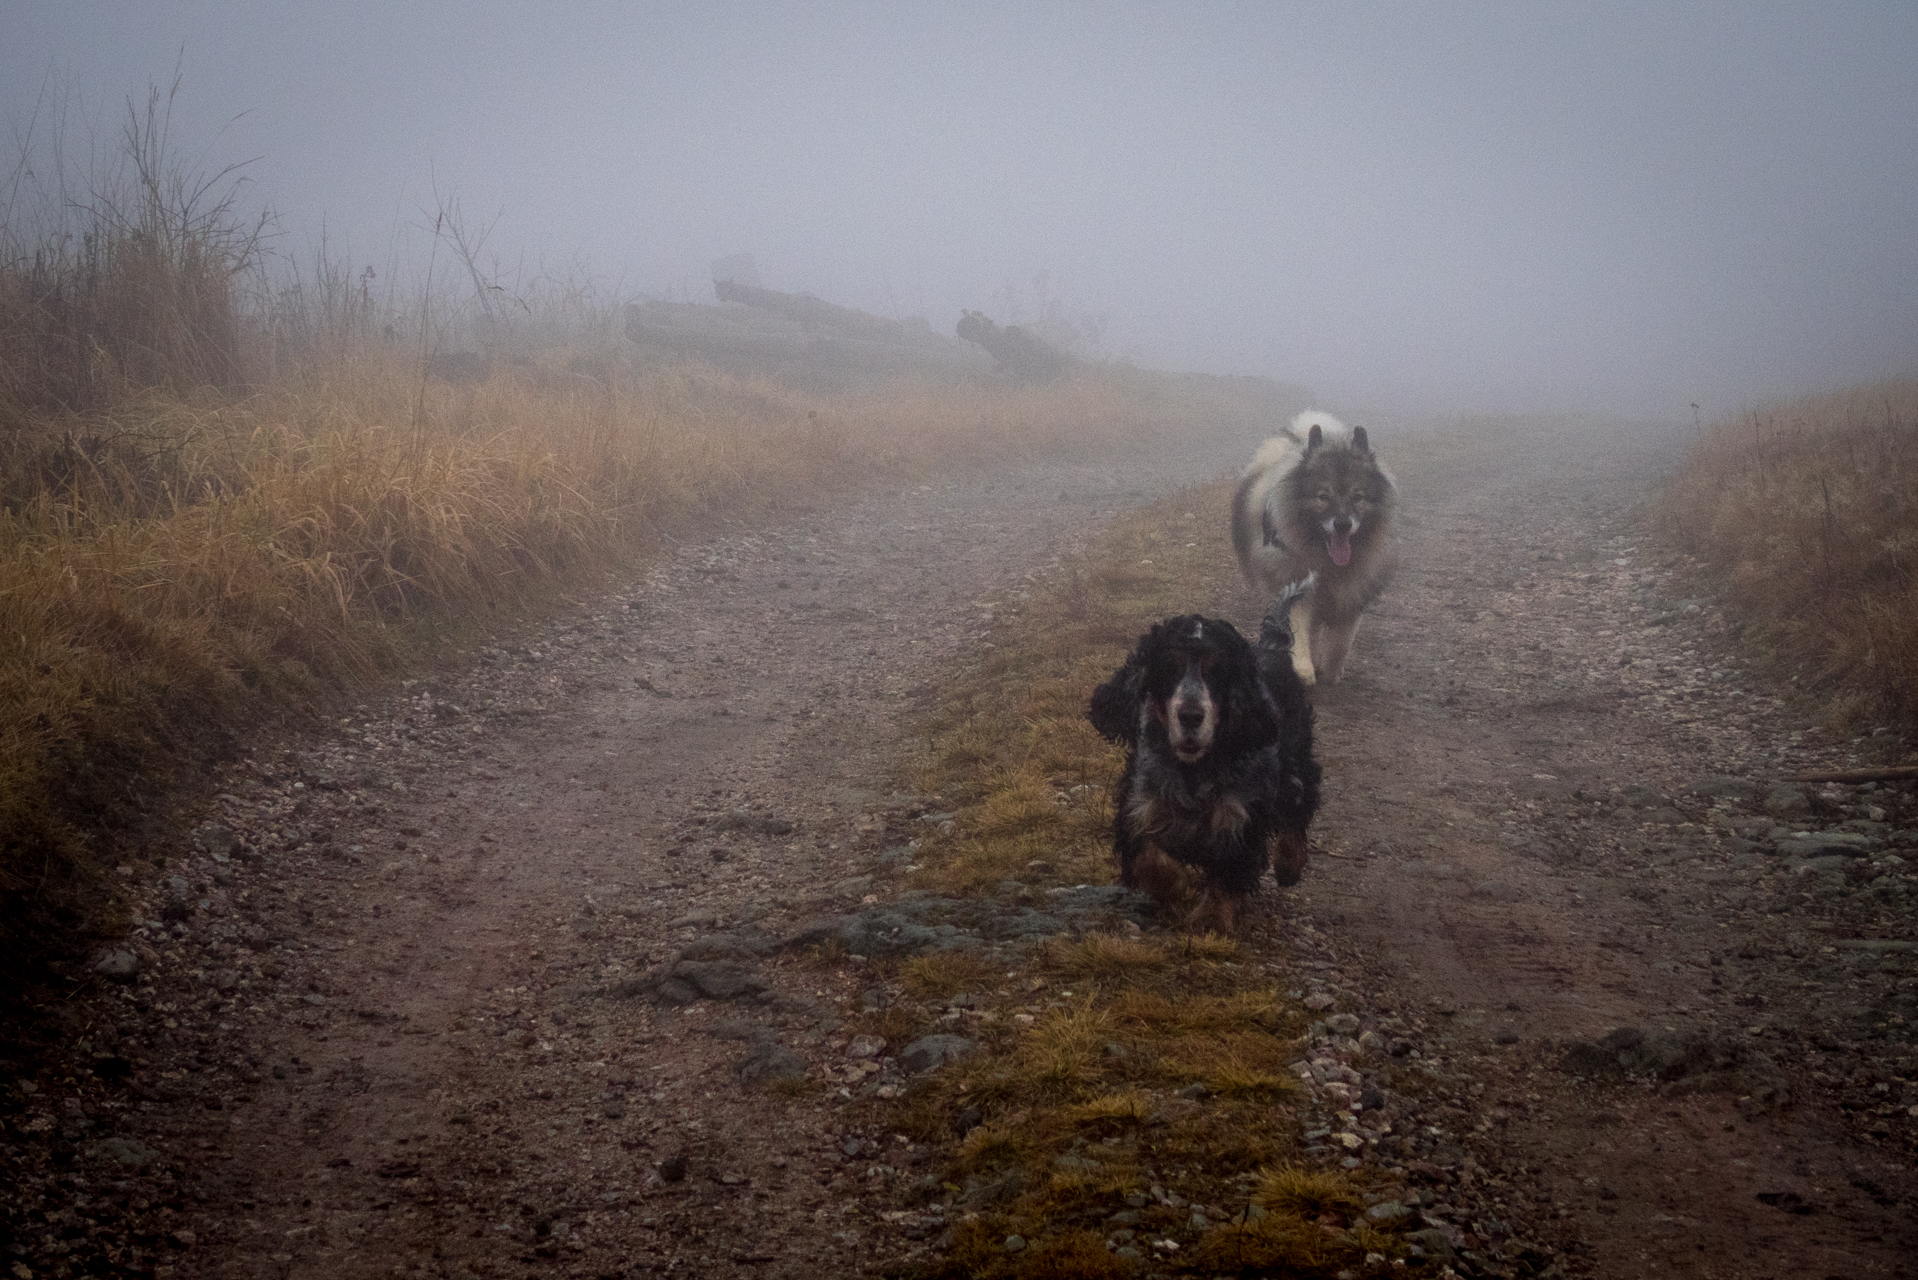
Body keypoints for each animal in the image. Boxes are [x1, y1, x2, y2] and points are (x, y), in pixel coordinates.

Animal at [1097, 602, 1319, 932]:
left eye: (1217, 671)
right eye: (1169, 668)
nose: (1190, 716)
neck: (1193, 770)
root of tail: (1271, 647)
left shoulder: (1239, 817)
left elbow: (1227, 872)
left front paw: (1211, 919)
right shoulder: (1140, 805)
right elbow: (1150, 858)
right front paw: (1174, 887)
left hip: (1295, 762)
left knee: (1299, 806)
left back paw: (1288, 866)